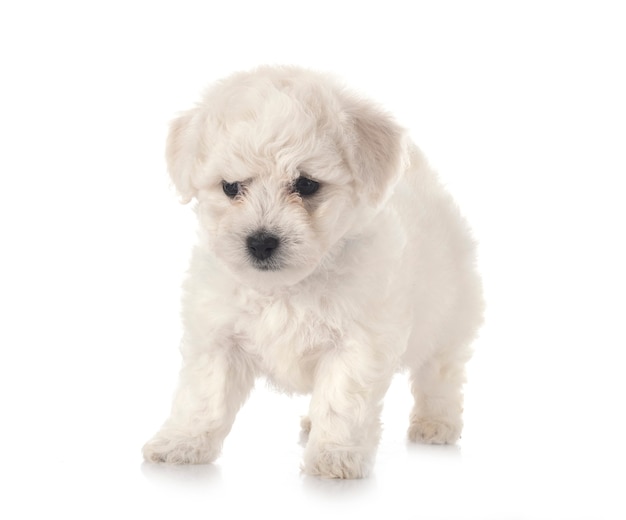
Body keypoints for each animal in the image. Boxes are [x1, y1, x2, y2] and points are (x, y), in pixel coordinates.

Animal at [141, 66, 482, 480]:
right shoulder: (218, 337)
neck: (287, 285)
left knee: (441, 374)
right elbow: (203, 397)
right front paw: (182, 443)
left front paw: (334, 455)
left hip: (451, 315)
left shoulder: (356, 343)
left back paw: (436, 423)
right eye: (230, 187)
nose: (260, 242)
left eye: (305, 184)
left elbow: (341, 401)